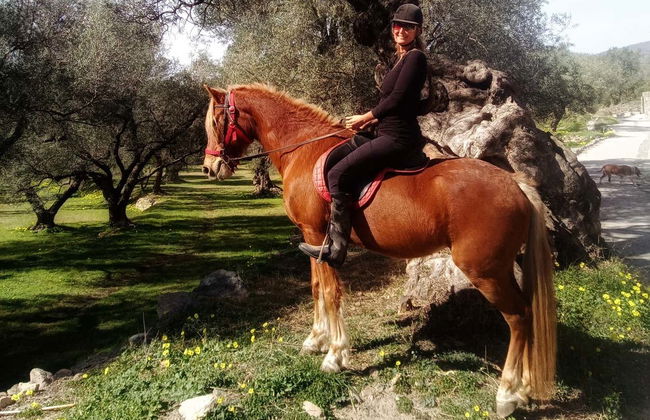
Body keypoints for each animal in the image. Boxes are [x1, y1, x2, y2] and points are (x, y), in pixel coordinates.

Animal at [201, 83, 556, 417]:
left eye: (217, 121)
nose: (209, 168)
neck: (304, 148)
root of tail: (515, 184)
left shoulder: (317, 235)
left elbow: (330, 292)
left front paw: (335, 354)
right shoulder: (312, 240)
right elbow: (316, 288)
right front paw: (315, 340)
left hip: (485, 271)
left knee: (518, 317)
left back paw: (507, 394)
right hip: (499, 269)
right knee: (528, 313)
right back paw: (524, 388)